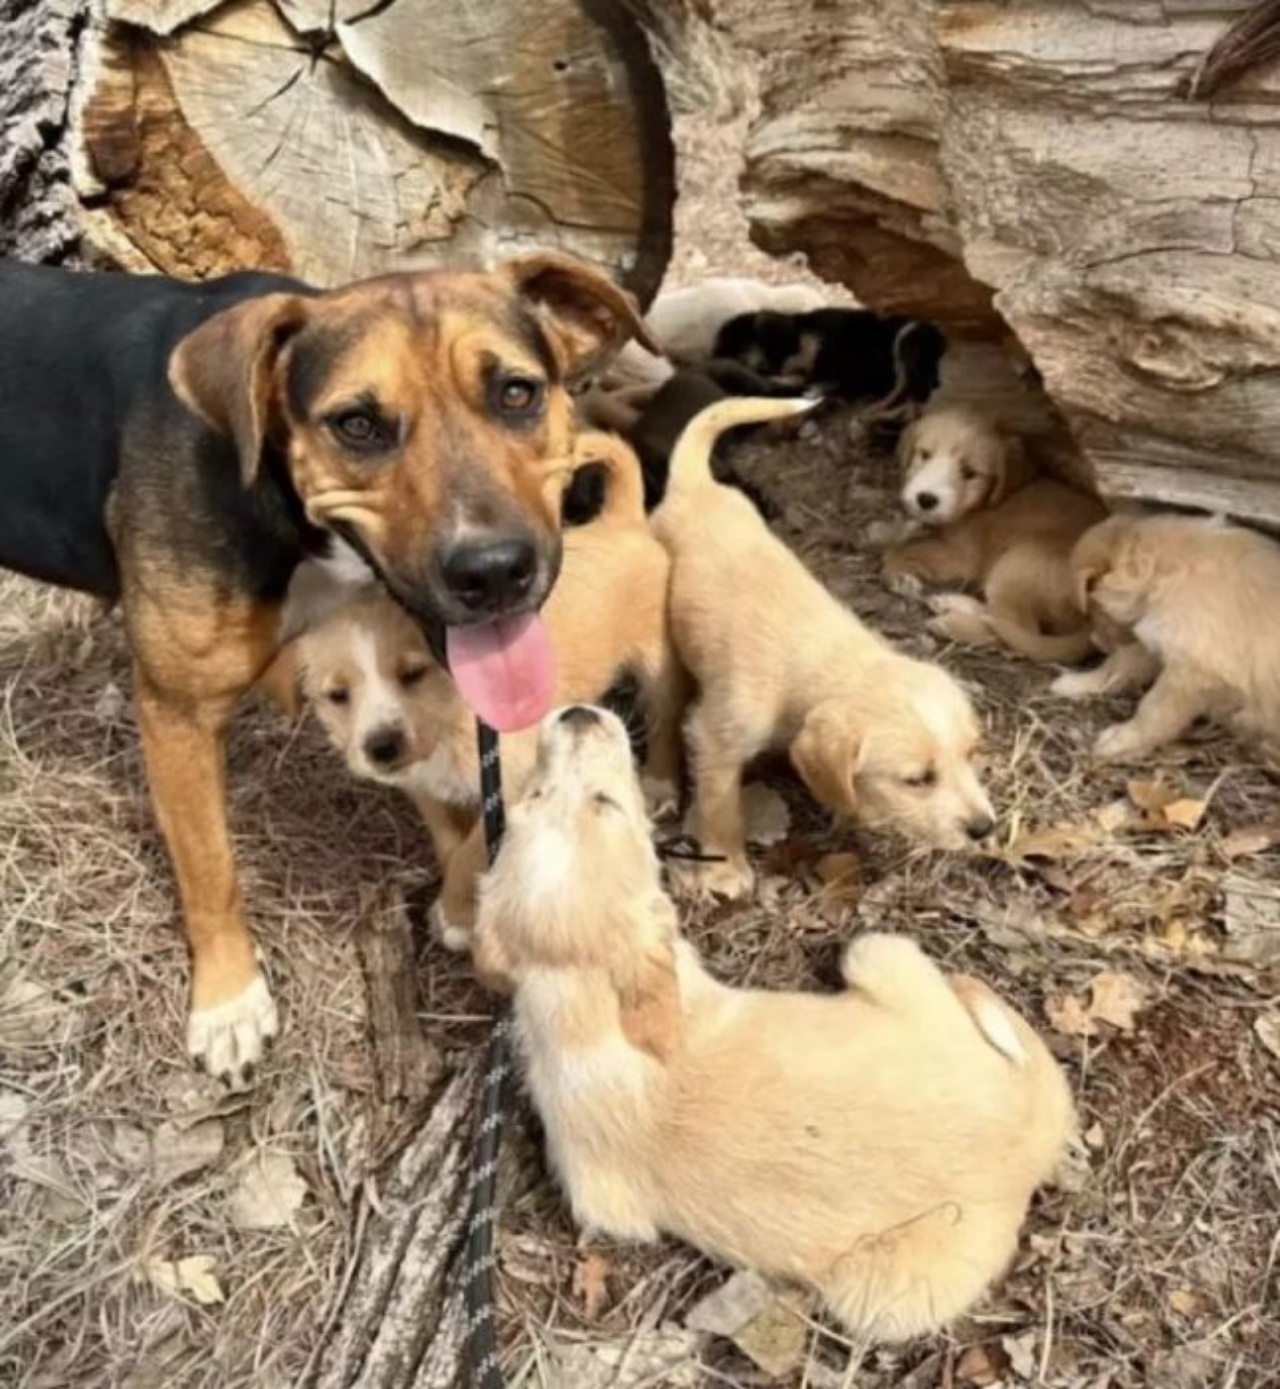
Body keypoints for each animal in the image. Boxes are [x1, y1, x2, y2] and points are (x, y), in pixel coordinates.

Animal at [288, 430, 677, 944]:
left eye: (412, 674)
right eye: (337, 696)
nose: (382, 747)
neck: (454, 721)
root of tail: (623, 519)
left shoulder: (511, 785)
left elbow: (472, 851)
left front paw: (455, 916)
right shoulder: (423, 788)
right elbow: (450, 844)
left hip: (657, 667)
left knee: (665, 716)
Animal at [474, 705, 1071, 1344]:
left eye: (532, 799)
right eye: (605, 801)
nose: (577, 712)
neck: (583, 1005)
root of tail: (1031, 1132)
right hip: (876, 952)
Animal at [877, 405, 1105, 663]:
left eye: (970, 473)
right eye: (925, 455)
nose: (926, 499)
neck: (980, 505)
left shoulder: (960, 555)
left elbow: (913, 548)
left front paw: (896, 569)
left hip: (1014, 567)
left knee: (1014, 633)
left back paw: (951, 624)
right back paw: (952, 602)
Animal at [1049, 516, 1277, 766]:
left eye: (1091, 613)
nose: (1094, 642)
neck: (1170, 568)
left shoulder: (1192, 672)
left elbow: (1153, 712)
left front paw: (1121, 742)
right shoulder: (1153, 641)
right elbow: (1118, 666)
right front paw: (1079, 682)